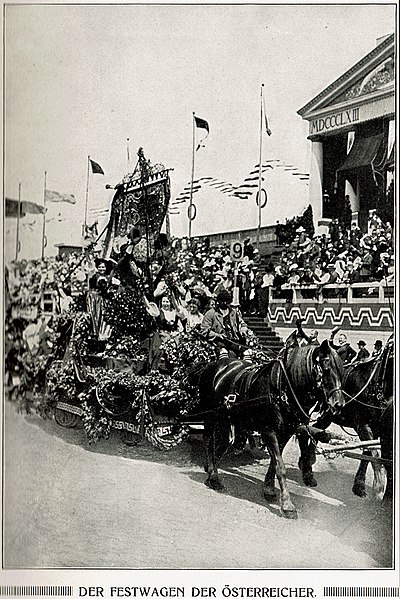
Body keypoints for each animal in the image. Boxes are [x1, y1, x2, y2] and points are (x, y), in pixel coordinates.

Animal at [197, 340, 344, 516]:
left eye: (341, 371)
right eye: (326, 368)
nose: (339, 404)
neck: (283, 387)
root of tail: (213, 365)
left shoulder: (286, 432)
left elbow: (275, 462)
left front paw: (268, 489)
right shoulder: (268, 431)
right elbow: (280, 466)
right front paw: (287, 504)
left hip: (225, 416)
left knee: (223, 442)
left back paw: (211, 469)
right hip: (210, 415)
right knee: (208, 440)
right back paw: (213, 477)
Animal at [296, 338, 394, 502]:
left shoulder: (379, 431)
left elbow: (368, 452)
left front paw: (359, 485)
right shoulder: (363, 425)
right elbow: (372, 451)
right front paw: (378, 484)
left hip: (328, 416)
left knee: (316, 430)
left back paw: (308, 460)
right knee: (304, 431)